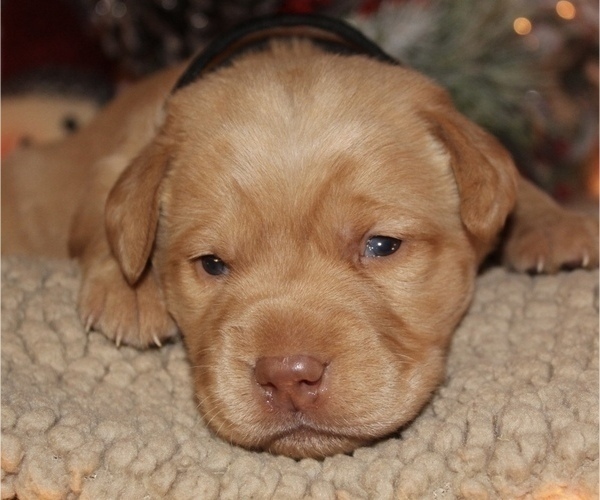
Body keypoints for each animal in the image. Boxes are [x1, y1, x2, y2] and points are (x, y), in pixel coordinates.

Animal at [2, 14, 596, 460]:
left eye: (381, 246)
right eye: (212, 263)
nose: (288, 377)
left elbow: (507, 176)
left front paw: (554, 224)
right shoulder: (117, 157)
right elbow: (104, 214)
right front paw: (129, 289)